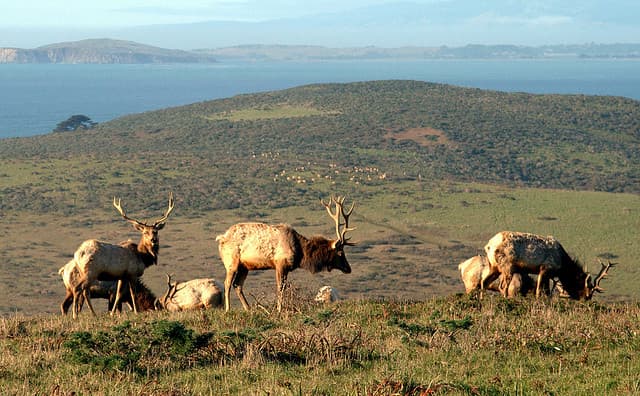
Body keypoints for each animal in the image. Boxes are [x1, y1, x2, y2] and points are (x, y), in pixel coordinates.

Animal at [215, 195, 356, 312]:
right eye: (340, 252)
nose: (348, 268)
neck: (301, 253)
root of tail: (221, 239)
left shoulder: (286, 268)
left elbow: (284, 288)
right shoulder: (280, 264)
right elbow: (280, 288)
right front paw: (279, 309)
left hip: (244, 267)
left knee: (237, 284)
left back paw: (249, 309)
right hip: (231, 263)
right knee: (227, 284)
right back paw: (227, 309)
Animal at [482, 229, 612, 300]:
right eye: (587, 289)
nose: (586, 300)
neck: (562, 265)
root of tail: (489, 245)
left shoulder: (547, 274)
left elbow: (546, 292)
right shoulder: (545, 269)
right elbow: (539, 291)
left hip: (493, 266)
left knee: (484, 282)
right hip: (507, 267)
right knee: (502, 286)